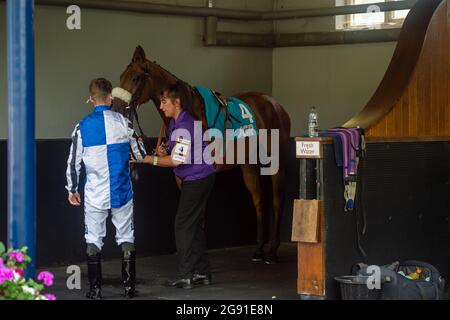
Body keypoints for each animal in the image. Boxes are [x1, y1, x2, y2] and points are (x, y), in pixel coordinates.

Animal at [118, 45, 290, 264]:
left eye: (136, 78)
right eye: (122, 76)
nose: (116, 105)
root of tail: (274, 105)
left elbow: (199, 217)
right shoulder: (182, 176)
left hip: (277, 163)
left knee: (277, 201)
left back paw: (273, 251)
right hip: (249, 166)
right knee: (259, 201)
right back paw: (259, 249)